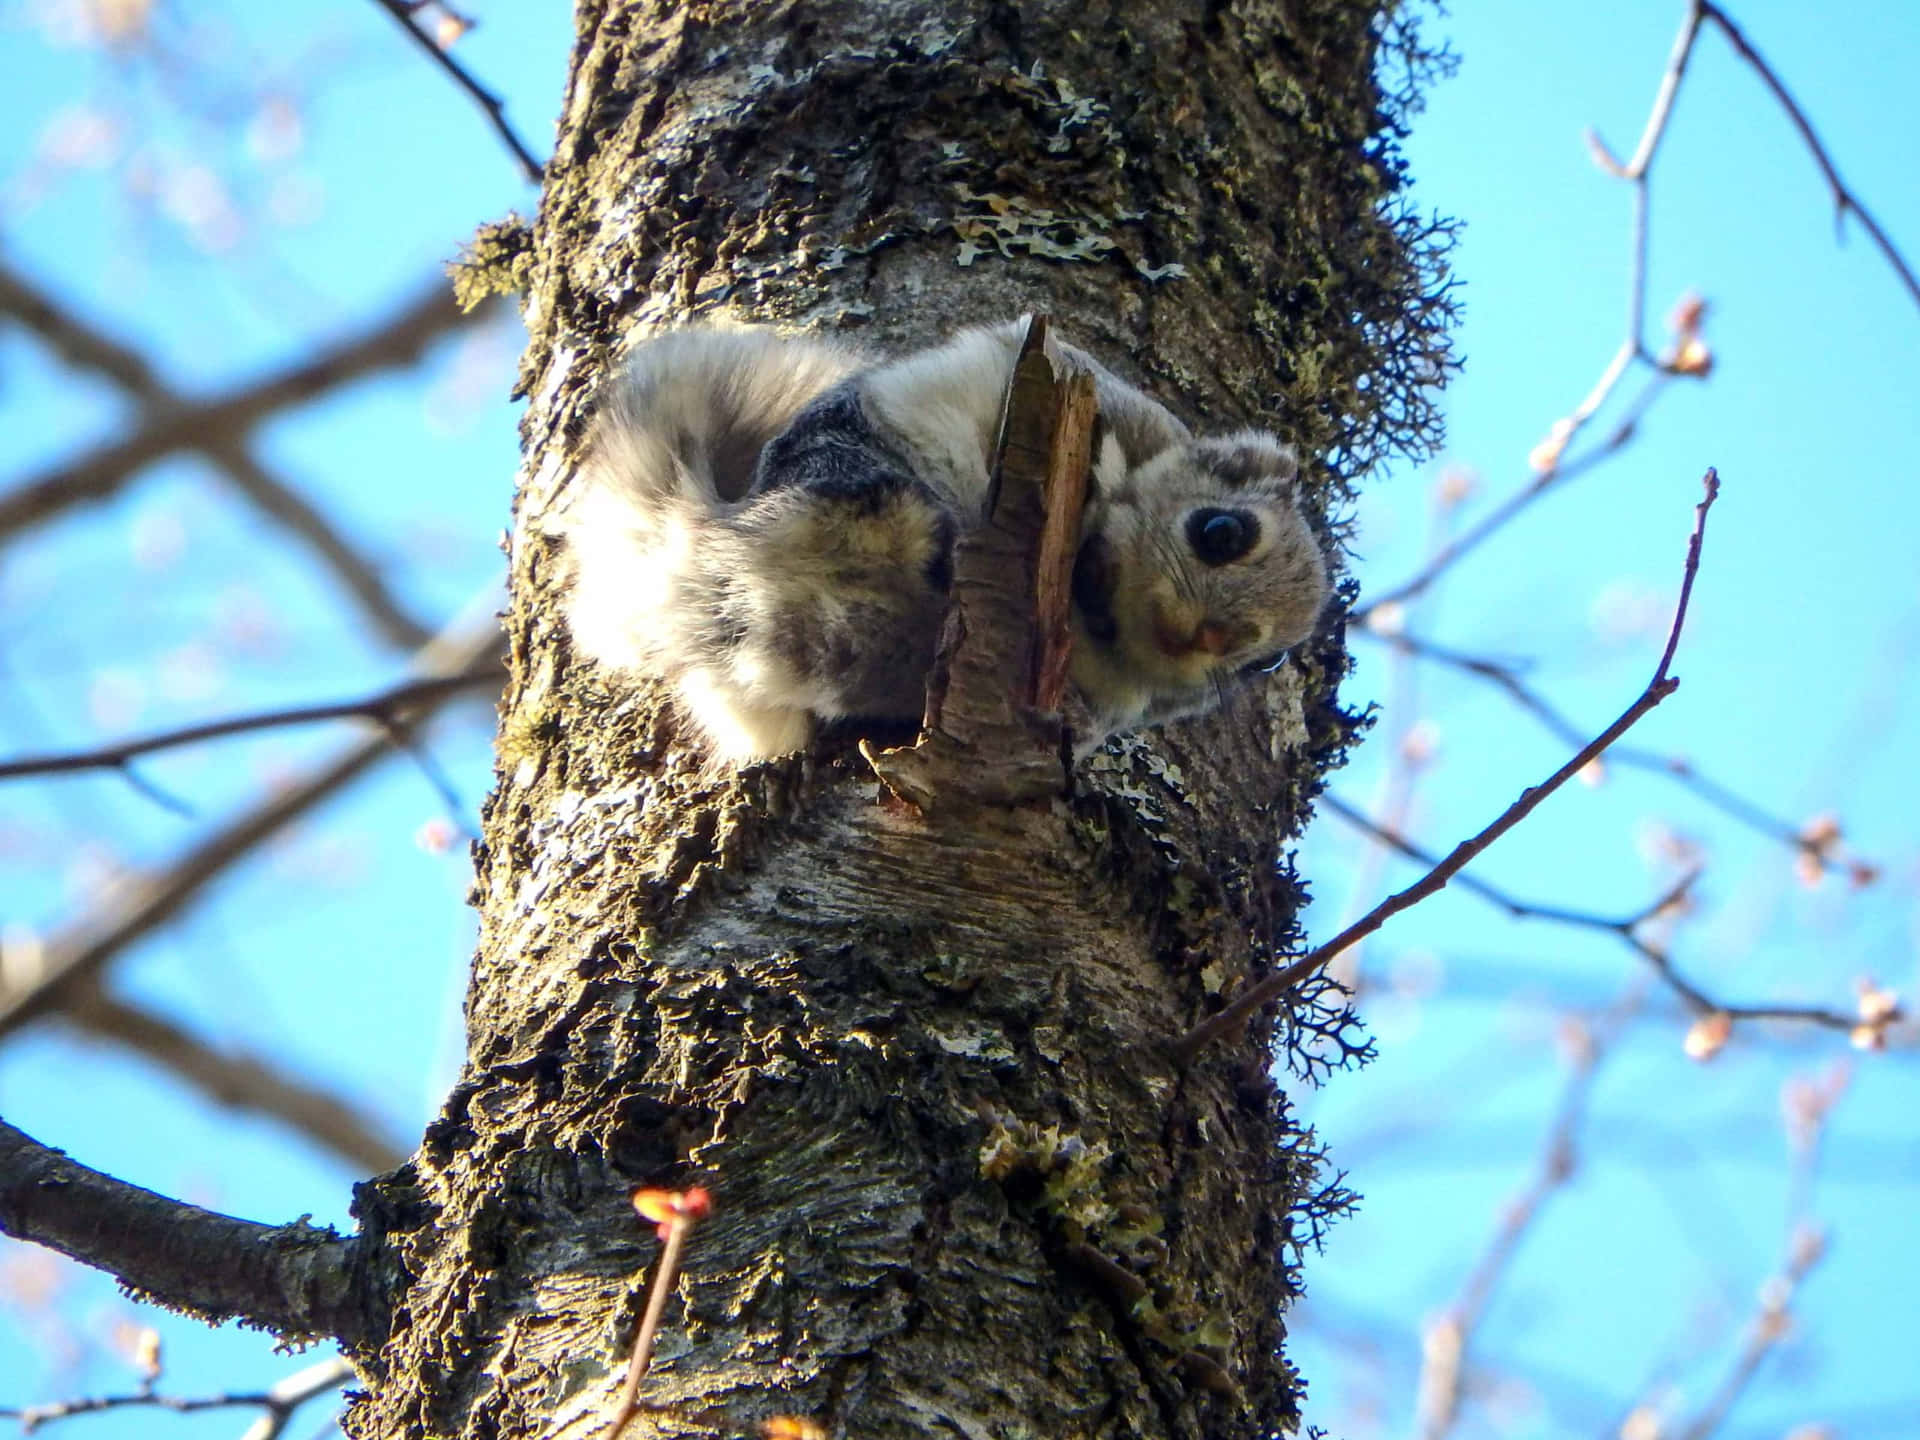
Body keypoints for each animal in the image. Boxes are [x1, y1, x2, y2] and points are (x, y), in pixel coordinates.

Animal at [560, 316, 1328, 768]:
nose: (1205, 637)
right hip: (850, 471)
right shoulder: (1081, 381)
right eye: (1221, 531)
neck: (1092, 613)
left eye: (1267, 662)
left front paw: (1070, 719)